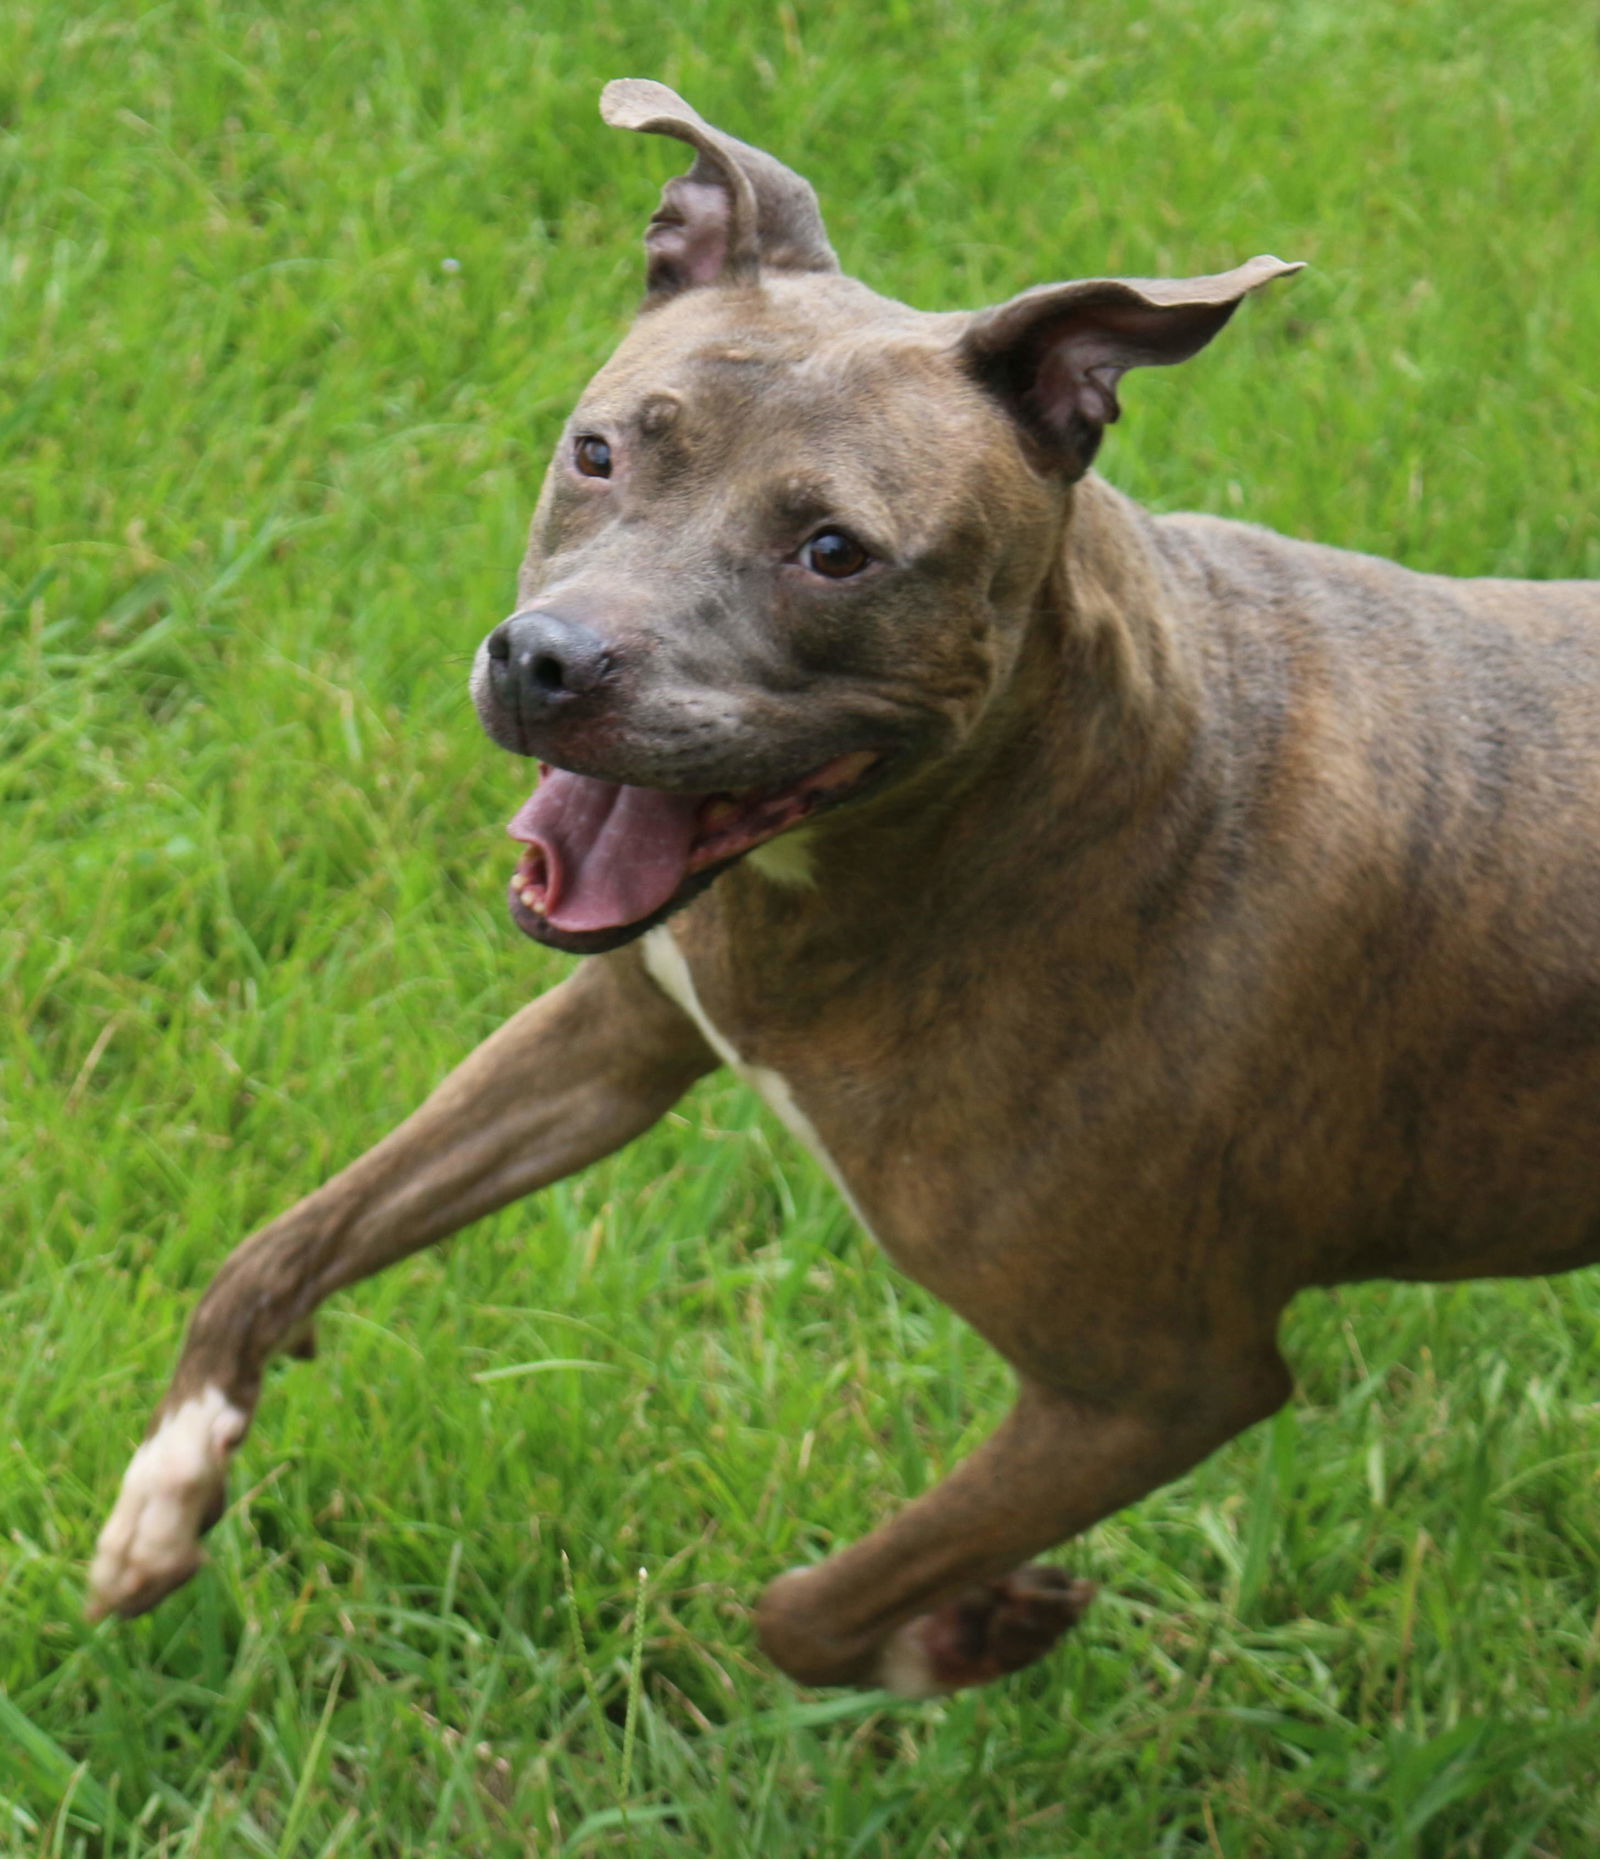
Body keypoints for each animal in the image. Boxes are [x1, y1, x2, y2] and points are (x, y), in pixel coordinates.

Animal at [87, 76, 1598, 1702]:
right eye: (599, 453)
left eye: (833, 553)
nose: (547, 663)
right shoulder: (625, 1029)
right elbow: (282, 1244)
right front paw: (167, 1489)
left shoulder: (1153, 1379)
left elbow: (807, 1612)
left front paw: (954, 1631)